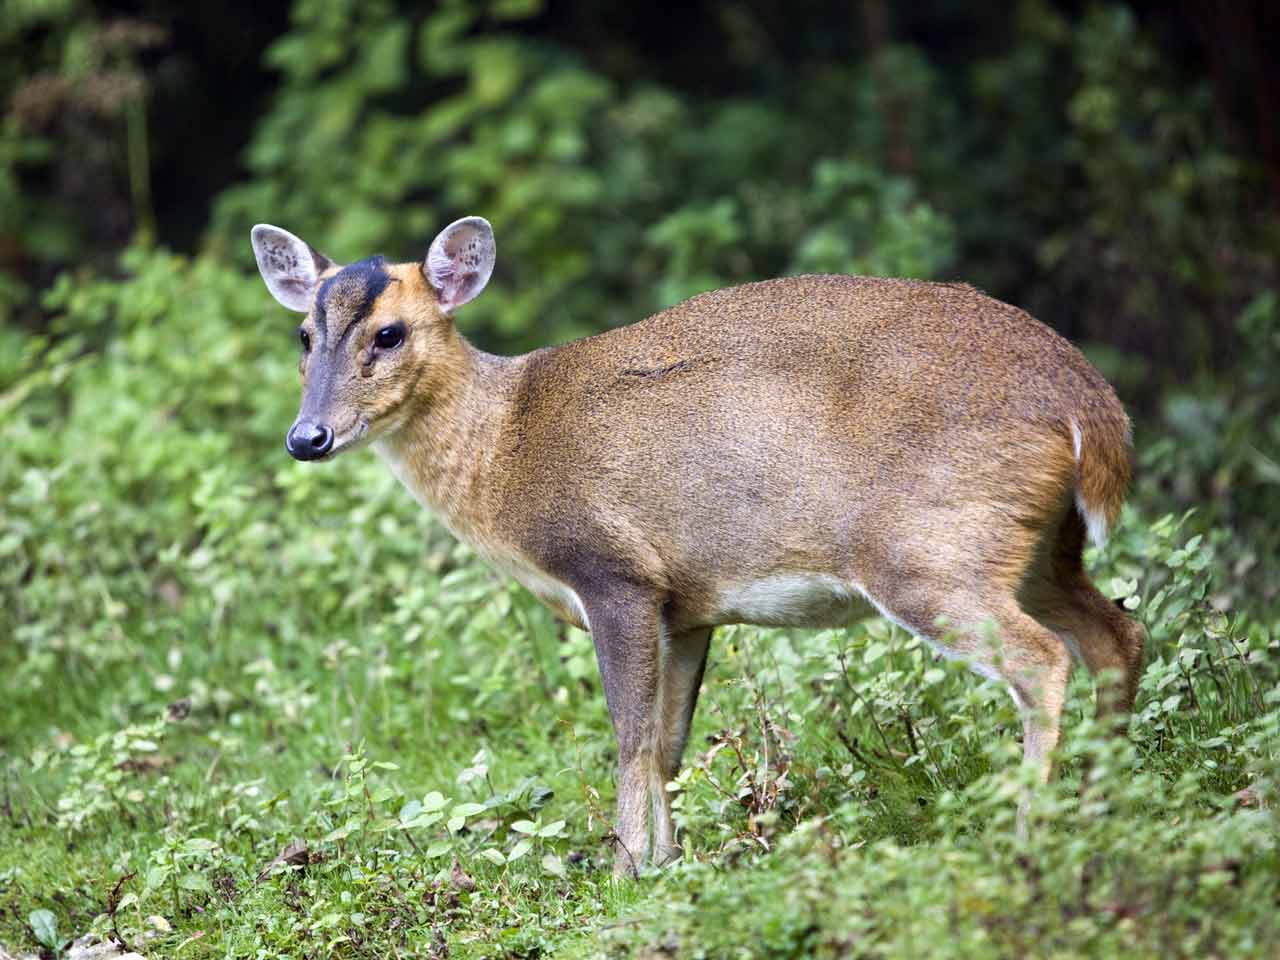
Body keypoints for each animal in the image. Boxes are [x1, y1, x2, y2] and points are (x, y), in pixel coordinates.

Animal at [252, 217, 1152, 880]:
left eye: (390, 334)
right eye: (303, 336)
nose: (306, 437)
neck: (501, 450)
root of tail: (1091, 409)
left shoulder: (611, 570)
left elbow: (628, 735)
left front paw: (625, 875)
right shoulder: (685, 606)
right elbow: (667, 741)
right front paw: (668, 864)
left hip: (930, 547)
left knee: (1043, 658)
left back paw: (1030, 832)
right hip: (1039, 548)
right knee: (1118, 633)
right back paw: (1100, 800)